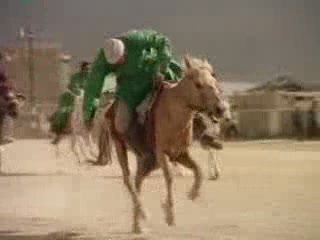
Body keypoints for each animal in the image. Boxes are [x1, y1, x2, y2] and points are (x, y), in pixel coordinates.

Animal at [103, 55, 228, 232]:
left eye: (214, 81)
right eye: (198, 84)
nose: (221, 108)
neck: (173, 113)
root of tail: (109, 108)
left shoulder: (180, 154)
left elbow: (198, 170)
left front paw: (192, 194)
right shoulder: (161, 153)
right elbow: (169, 177)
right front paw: (169, 215)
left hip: (146, 159)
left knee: (138, 180)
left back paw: (137, 225)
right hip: (120, 145)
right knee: (128, 180)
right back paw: (143, 214)